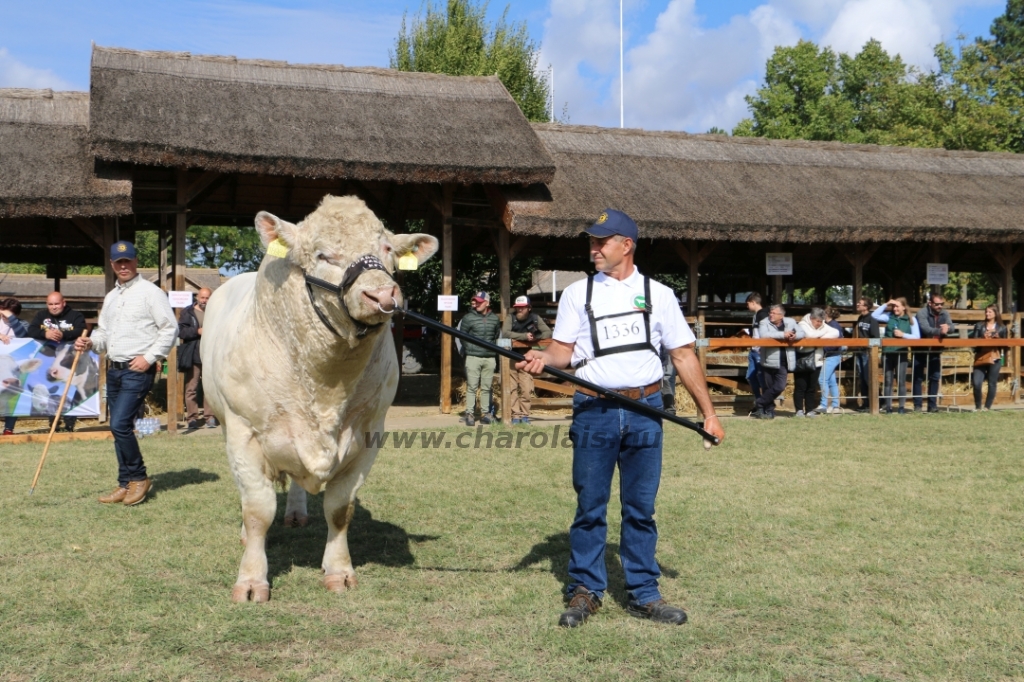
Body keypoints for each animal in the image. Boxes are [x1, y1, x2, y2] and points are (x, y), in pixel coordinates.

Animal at [201, 193, 438, 598]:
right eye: (323, 254)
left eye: (387, 249)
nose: (383, 294)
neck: (327, 381)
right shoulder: (244, 432)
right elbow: (257, 509)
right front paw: (251, 579)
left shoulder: (368, 434)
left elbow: (340, 509)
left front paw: (338, 570)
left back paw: (296, 512)